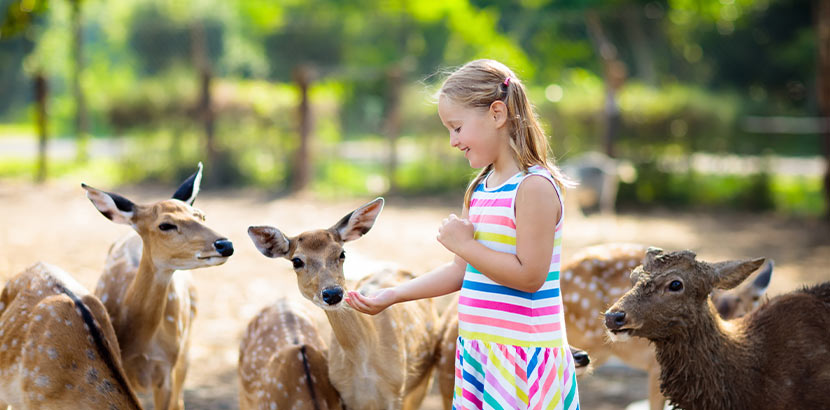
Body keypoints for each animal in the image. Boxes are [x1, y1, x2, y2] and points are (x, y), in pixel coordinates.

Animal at [83, 163, 234, 410]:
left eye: (202, 215)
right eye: (166, 225)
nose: (225, 244)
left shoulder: (165, 369)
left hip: (186, 348)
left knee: (180, 400)